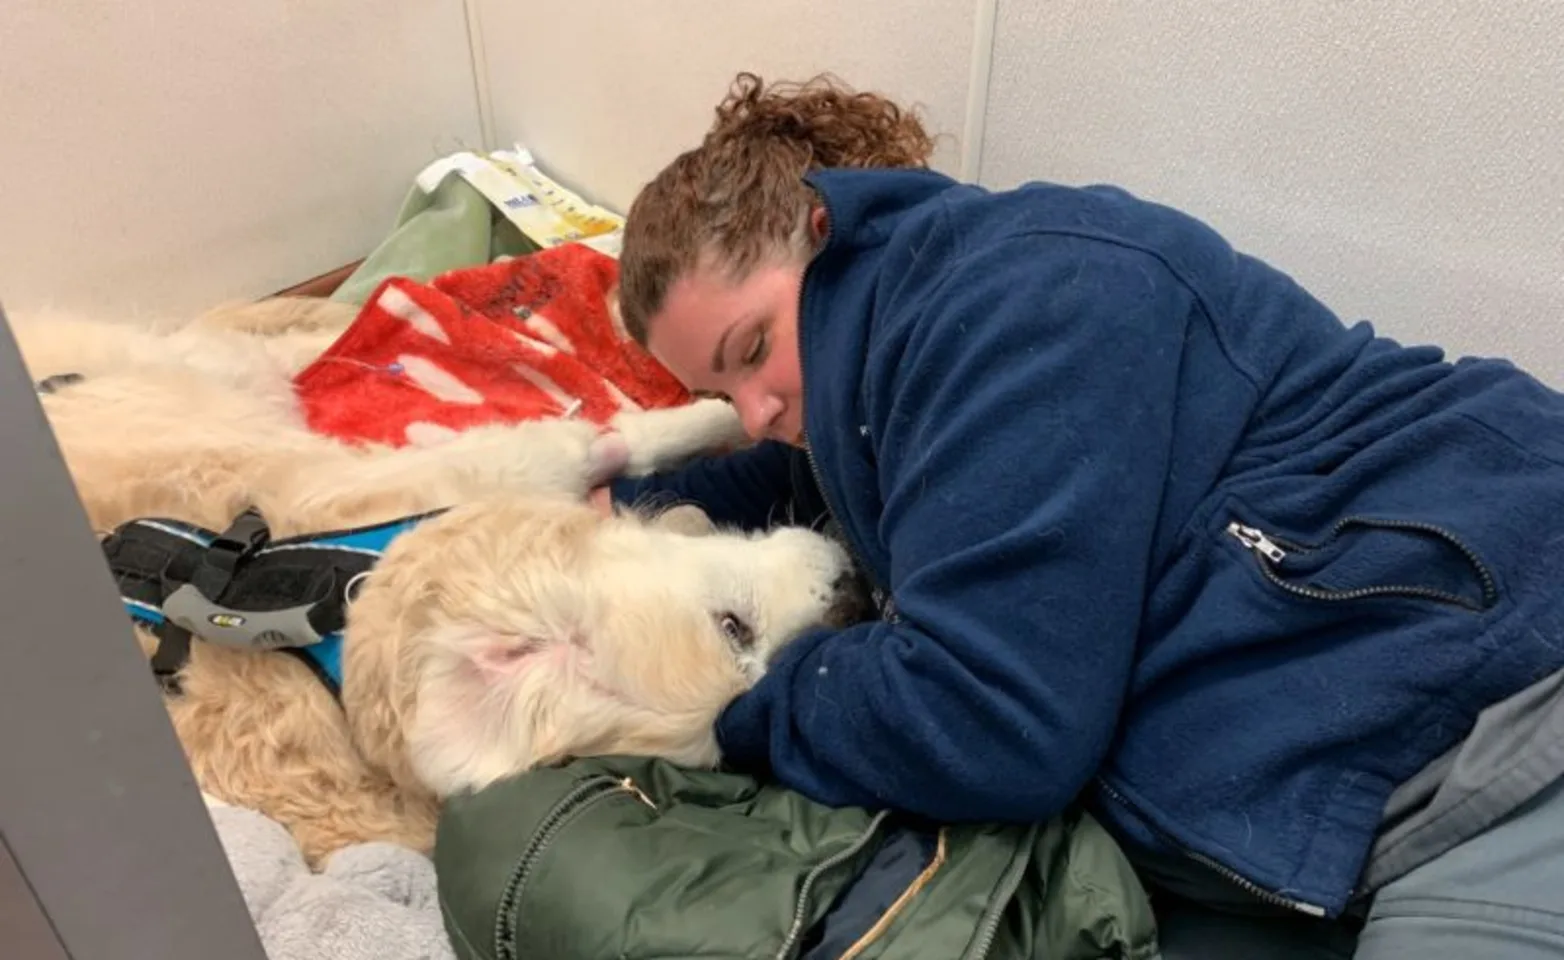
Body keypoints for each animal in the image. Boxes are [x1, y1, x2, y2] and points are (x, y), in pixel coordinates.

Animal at [9, 298, 869, 863]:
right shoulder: (521, 460)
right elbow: (623, 436)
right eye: (734, 629)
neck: (346, 600)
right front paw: (719, 412)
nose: (853, 583)